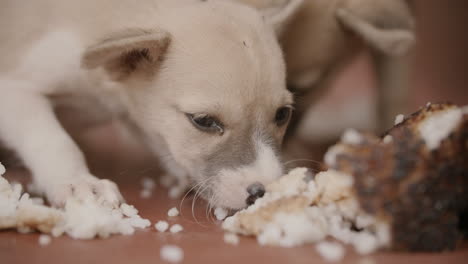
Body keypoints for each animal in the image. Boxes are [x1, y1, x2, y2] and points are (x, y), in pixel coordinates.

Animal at [0, 0, 304, 210]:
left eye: (282, 114)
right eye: (204, 121)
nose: (263, 193)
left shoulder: (130, 109)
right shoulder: (13, 90)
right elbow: (53, 139)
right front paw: (78, 182)